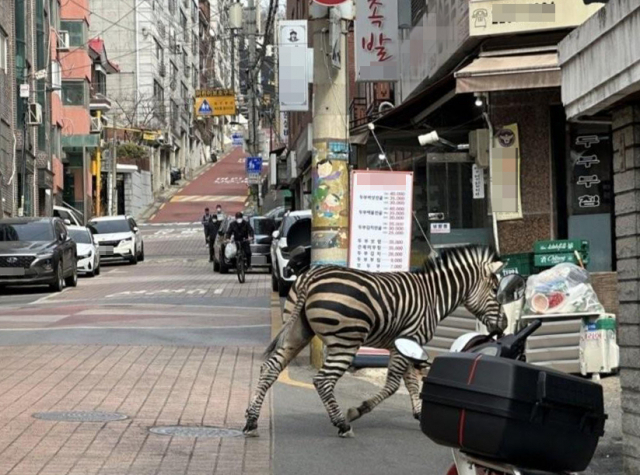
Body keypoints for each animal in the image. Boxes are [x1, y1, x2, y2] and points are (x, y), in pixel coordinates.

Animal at [244, 245, 504, 438]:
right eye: (495, 290)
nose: (503, 326)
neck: (434, 296)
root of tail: (310, 276)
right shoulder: (408, 341)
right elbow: (394, 385)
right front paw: (357, 410)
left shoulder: (408, 344)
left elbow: (411, 383)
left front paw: (420, 415)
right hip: (346, 341)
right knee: (323, 380)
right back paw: (342, 424)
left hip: (296, 331)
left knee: (269, 368)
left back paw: (251, 420)